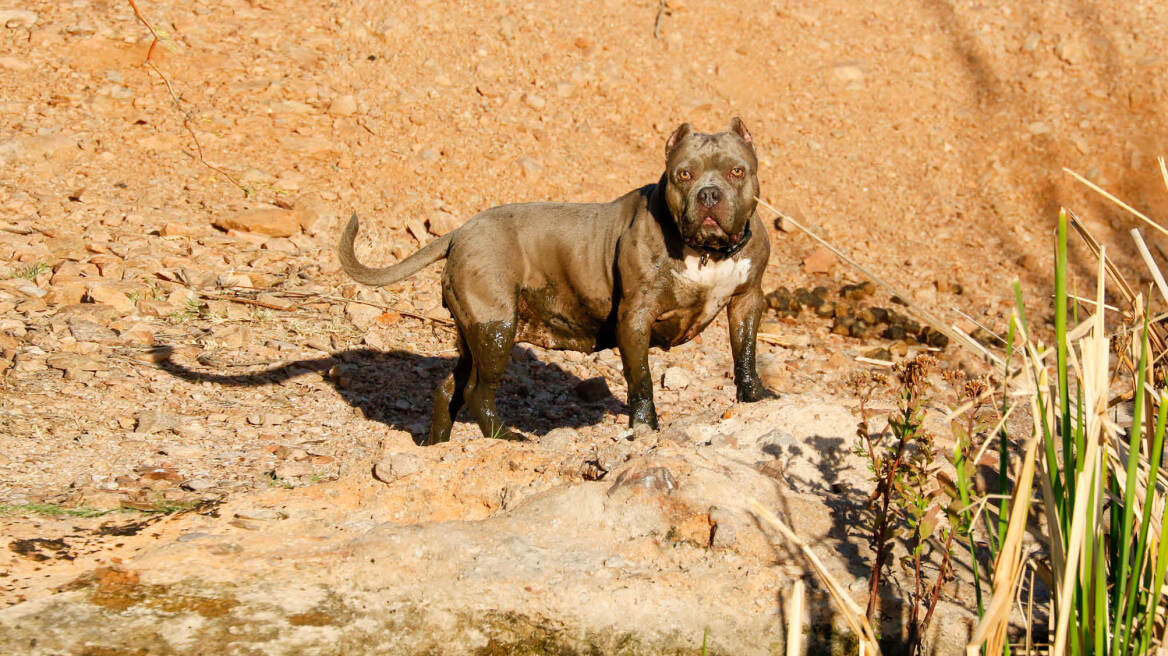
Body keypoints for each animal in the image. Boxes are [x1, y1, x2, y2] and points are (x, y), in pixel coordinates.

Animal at [341, 118, 775, 443]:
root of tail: (460, 232)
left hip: (474, 333)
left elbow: (745, 355)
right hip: (496, 328)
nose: (709, 194)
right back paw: (506, 437)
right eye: (683, 174)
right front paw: (644, 427)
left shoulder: (747, 301)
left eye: (737, 171)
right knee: (477, 391)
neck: (707, 251)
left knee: (450, 387)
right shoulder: (635, 318)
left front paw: (757, 398)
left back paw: (437, 444)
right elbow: (641, 380)